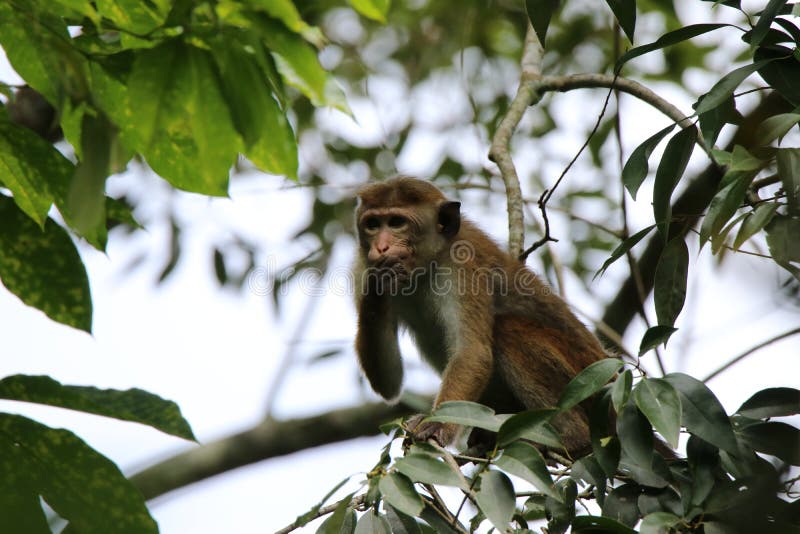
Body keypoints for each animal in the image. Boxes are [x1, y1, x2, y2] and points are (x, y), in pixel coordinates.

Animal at [354, 176, 608, 456]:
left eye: (397, 222)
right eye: (373, 224)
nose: (381, 246)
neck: (426, 264)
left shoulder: (464, 266)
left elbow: (472, 351)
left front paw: (437, 424)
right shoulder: (360, 266)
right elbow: (388, 381)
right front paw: (378, 283)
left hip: (587, 379)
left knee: (508, 329)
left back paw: (573, 438)